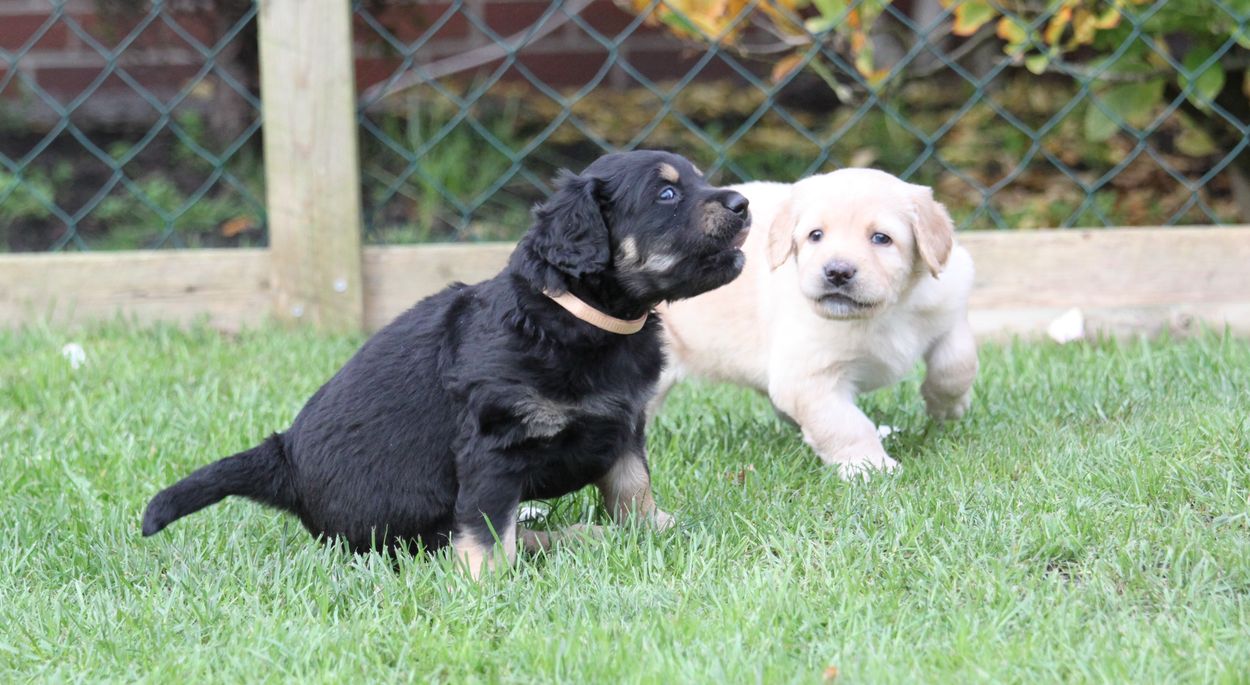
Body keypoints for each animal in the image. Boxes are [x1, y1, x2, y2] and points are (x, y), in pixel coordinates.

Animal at [142, 150, 750, 577]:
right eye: (667, 192)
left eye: (698, 179)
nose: (743, 204)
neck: (580, 319)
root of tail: (284, 457)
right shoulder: (494, 442)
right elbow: (487, 525)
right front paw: (486, 580)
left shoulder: (625, 423)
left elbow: (632, 485)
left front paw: (652, 527)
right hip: (398, 527)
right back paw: (573, 537)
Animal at [651, 168, 976, 480]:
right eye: (815, 235)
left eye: (881, 238)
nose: (837, 272)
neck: (885, 311)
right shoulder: (808, 378)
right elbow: (844, 424)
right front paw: (868, 467)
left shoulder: (949, 307)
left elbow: (957, 365)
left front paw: (946, 407)